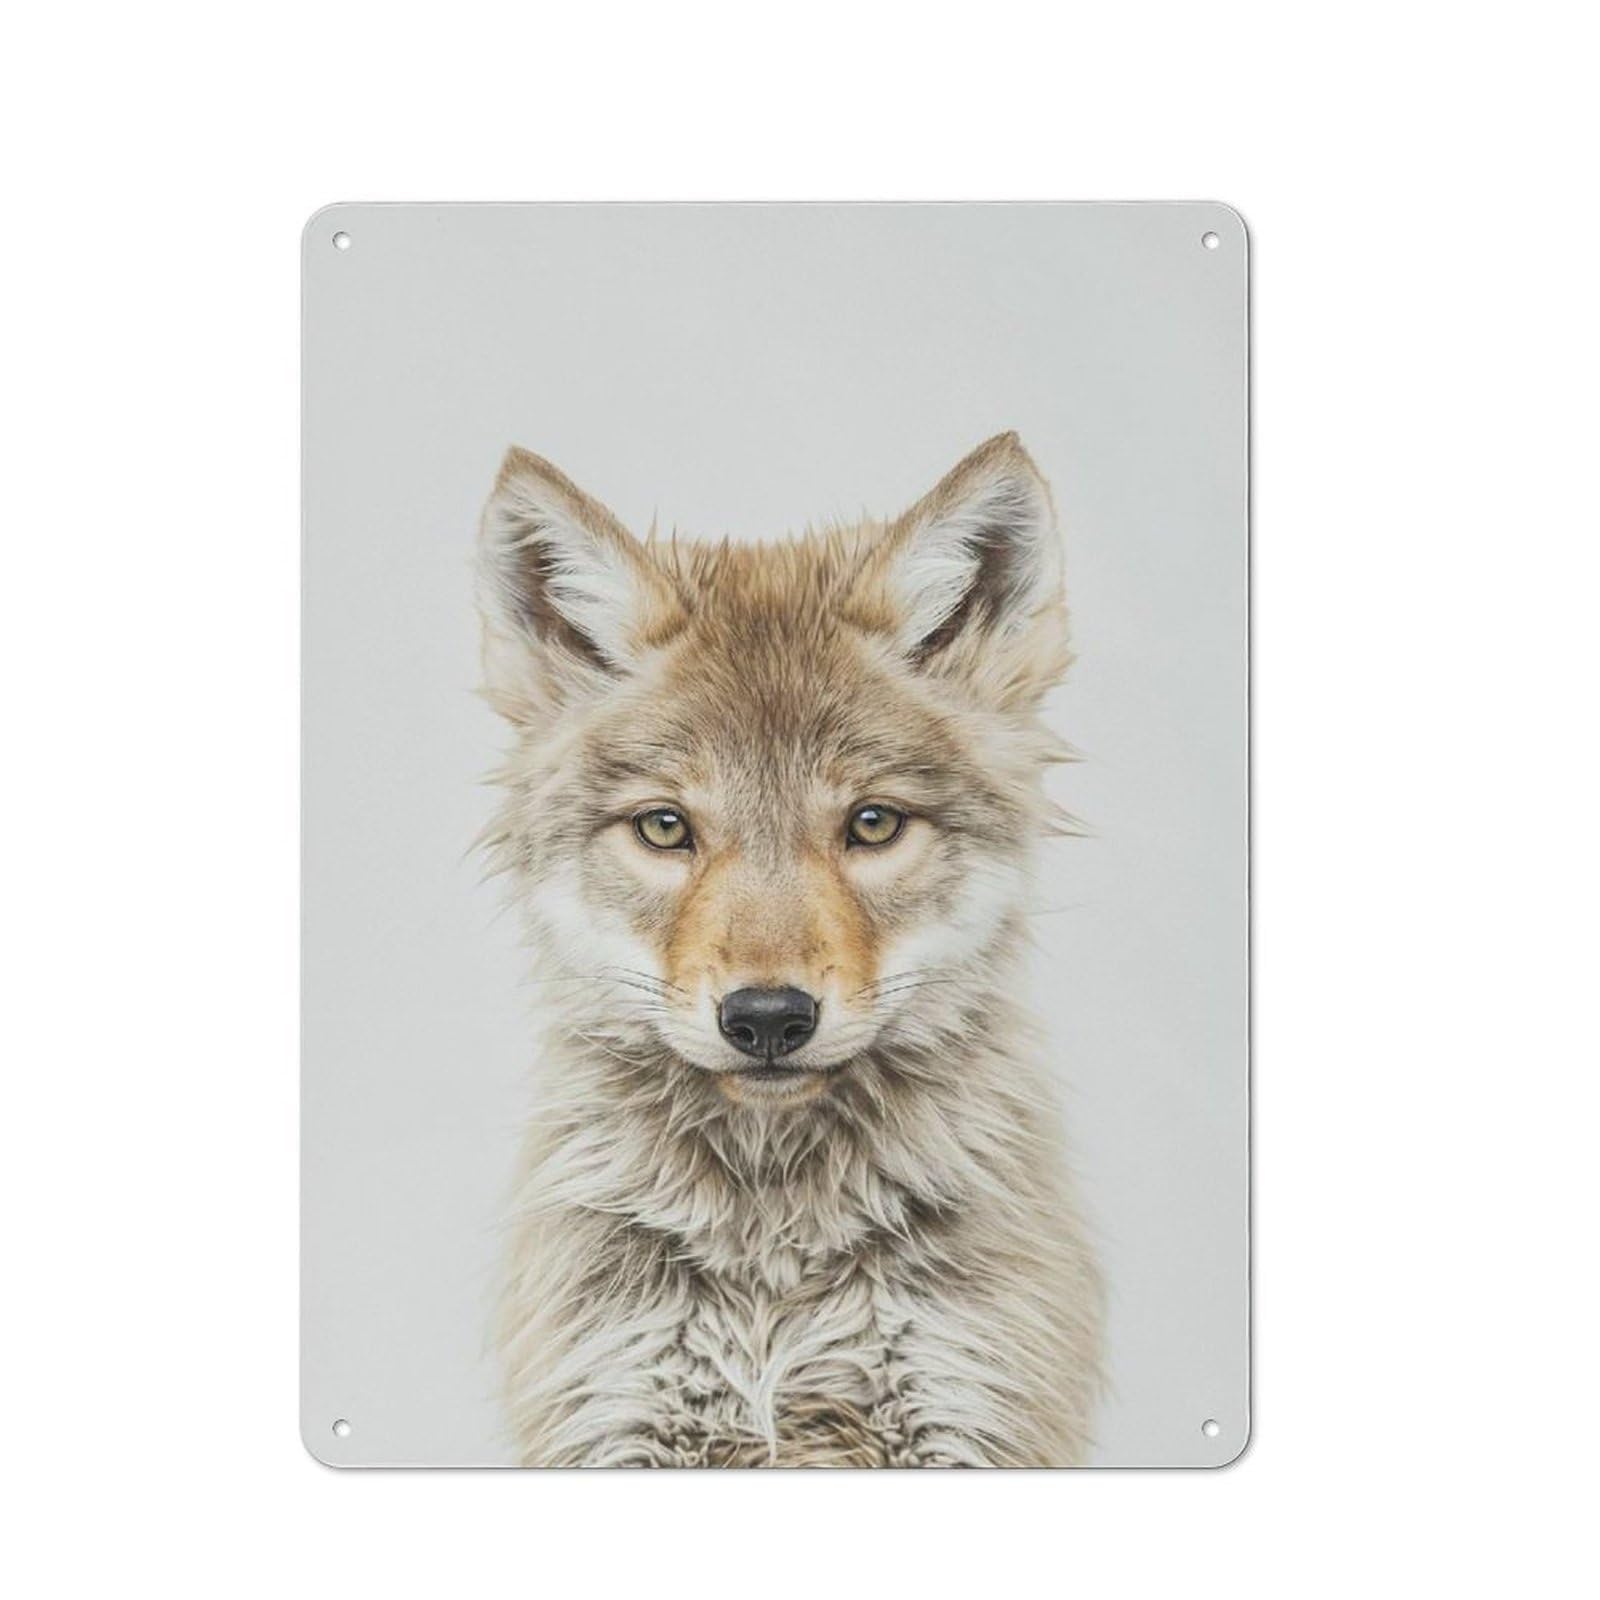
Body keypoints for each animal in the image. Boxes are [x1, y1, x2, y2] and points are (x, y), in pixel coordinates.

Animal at [476, 433, 1102, 1466]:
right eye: (664, 828)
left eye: (873, 823)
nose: (767, 1020)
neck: (772, 1259)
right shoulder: (618, 1420)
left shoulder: (965, 1419)